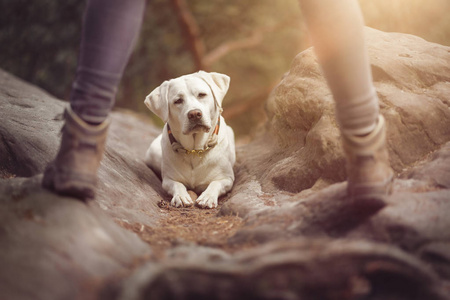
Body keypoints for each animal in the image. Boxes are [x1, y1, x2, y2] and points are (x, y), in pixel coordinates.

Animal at [144, 72, 236, 209]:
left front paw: (207, 197)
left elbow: (215, 184)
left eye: (202, 94)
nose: (194, 114)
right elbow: (177, 184)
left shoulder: (227, 179)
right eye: (178, 101)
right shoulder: (168, 180)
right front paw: (181, 196)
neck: (194, 150)